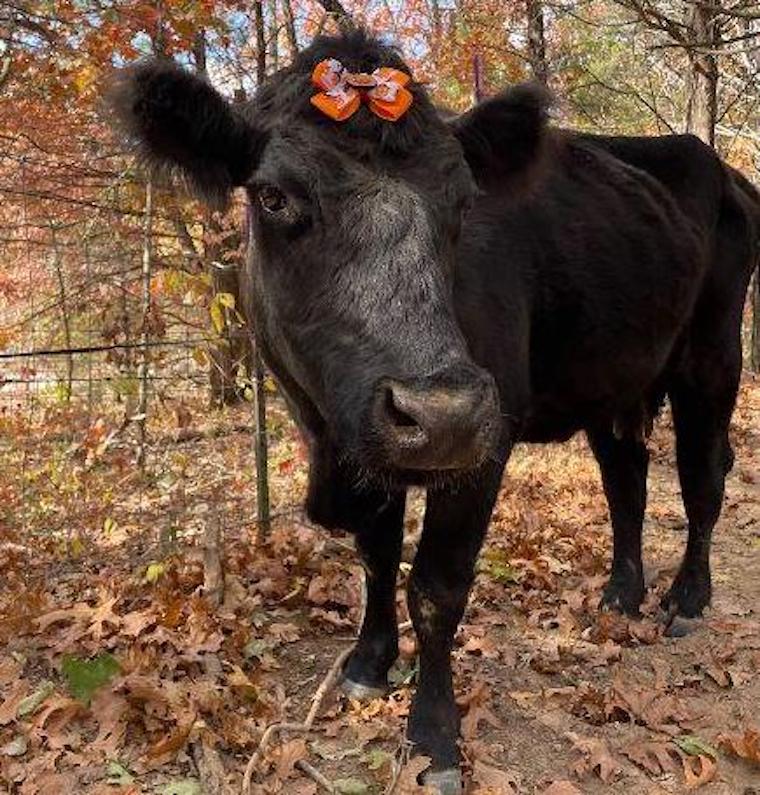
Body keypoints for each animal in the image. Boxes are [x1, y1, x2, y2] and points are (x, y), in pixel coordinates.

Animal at [110, 30, 760, 794]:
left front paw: (433, 735)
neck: (331, 446)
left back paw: (686, 599)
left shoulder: (485, 441)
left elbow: (436, 587)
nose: (442, 412)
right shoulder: (357, 440)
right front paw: (368, 663)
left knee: (702, 479)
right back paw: (620, 594)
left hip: (713, 357)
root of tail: (721, 167)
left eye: (463, 202)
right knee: (626, 480)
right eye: (273, 196)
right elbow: (376, 556)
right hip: (616, 378)